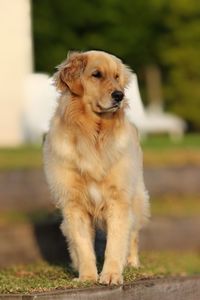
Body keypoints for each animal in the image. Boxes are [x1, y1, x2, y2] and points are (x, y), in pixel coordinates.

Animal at [43, 50, 150, 284]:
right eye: (96, 74)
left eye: (117, 76)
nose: (119, 95)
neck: (93, 134)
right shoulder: (73, 203)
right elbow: (83, 245)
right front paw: (87, 277)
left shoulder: (118, 199)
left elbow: (115, 243)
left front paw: (110, 275)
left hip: (137, 199)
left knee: (133, 234)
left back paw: (132, 262)